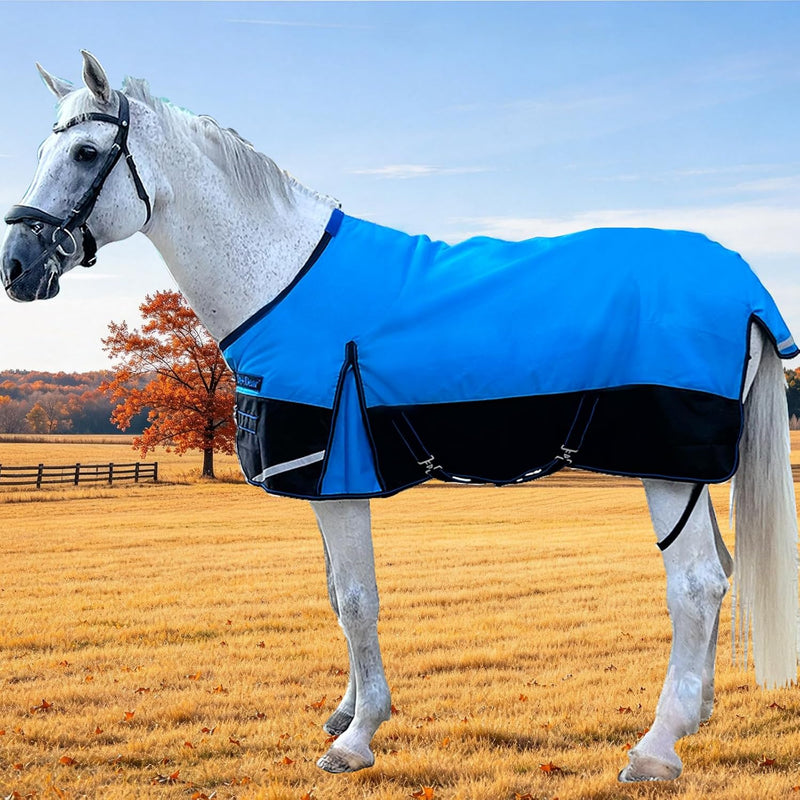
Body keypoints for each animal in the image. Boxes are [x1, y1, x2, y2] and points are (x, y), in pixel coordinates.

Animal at [1, 51, 798, 782]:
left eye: (85, 153)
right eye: (43, 149)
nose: (16, 266)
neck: (283, 276)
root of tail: (745, 284)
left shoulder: (337, 480)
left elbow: (357, 600)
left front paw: (357, 739)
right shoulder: (321, 484)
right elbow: (334, 594)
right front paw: (345, 711)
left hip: (667, 469)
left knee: (696, 585)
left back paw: (657, 746)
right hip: (684, 472)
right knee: (719, 573)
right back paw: (697, 714)